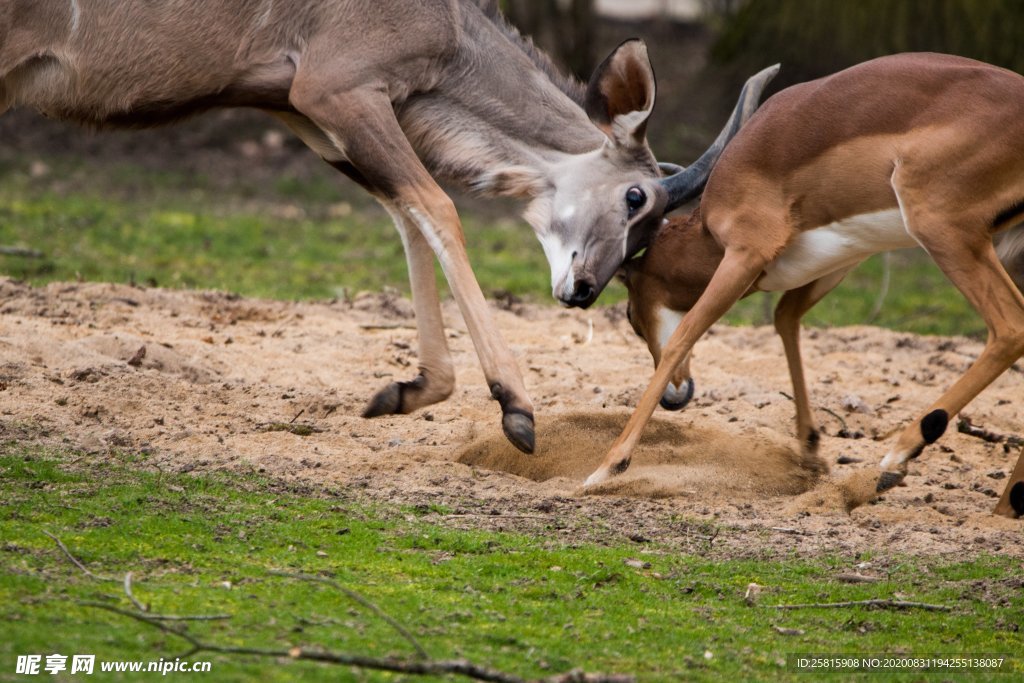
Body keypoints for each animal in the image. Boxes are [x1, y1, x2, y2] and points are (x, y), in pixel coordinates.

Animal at [0, 3, 770, 458]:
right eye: (637, 197)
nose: (581, 288)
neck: (448, 29)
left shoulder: (305, 110)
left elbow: (406, 211)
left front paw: (412, 389)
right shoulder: (337, 88)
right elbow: (437, 207)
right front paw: (516, 407)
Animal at [585, 53, 1024, 518]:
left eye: (631, 315)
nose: (674, 399)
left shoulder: (745, 255)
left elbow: (683, 336)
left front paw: (607, 468)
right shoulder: (840, 258)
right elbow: (785, 316)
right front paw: (811, 450)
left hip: (944, 232)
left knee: (1011, 328)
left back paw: (894, 461)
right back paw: (1004, 507)